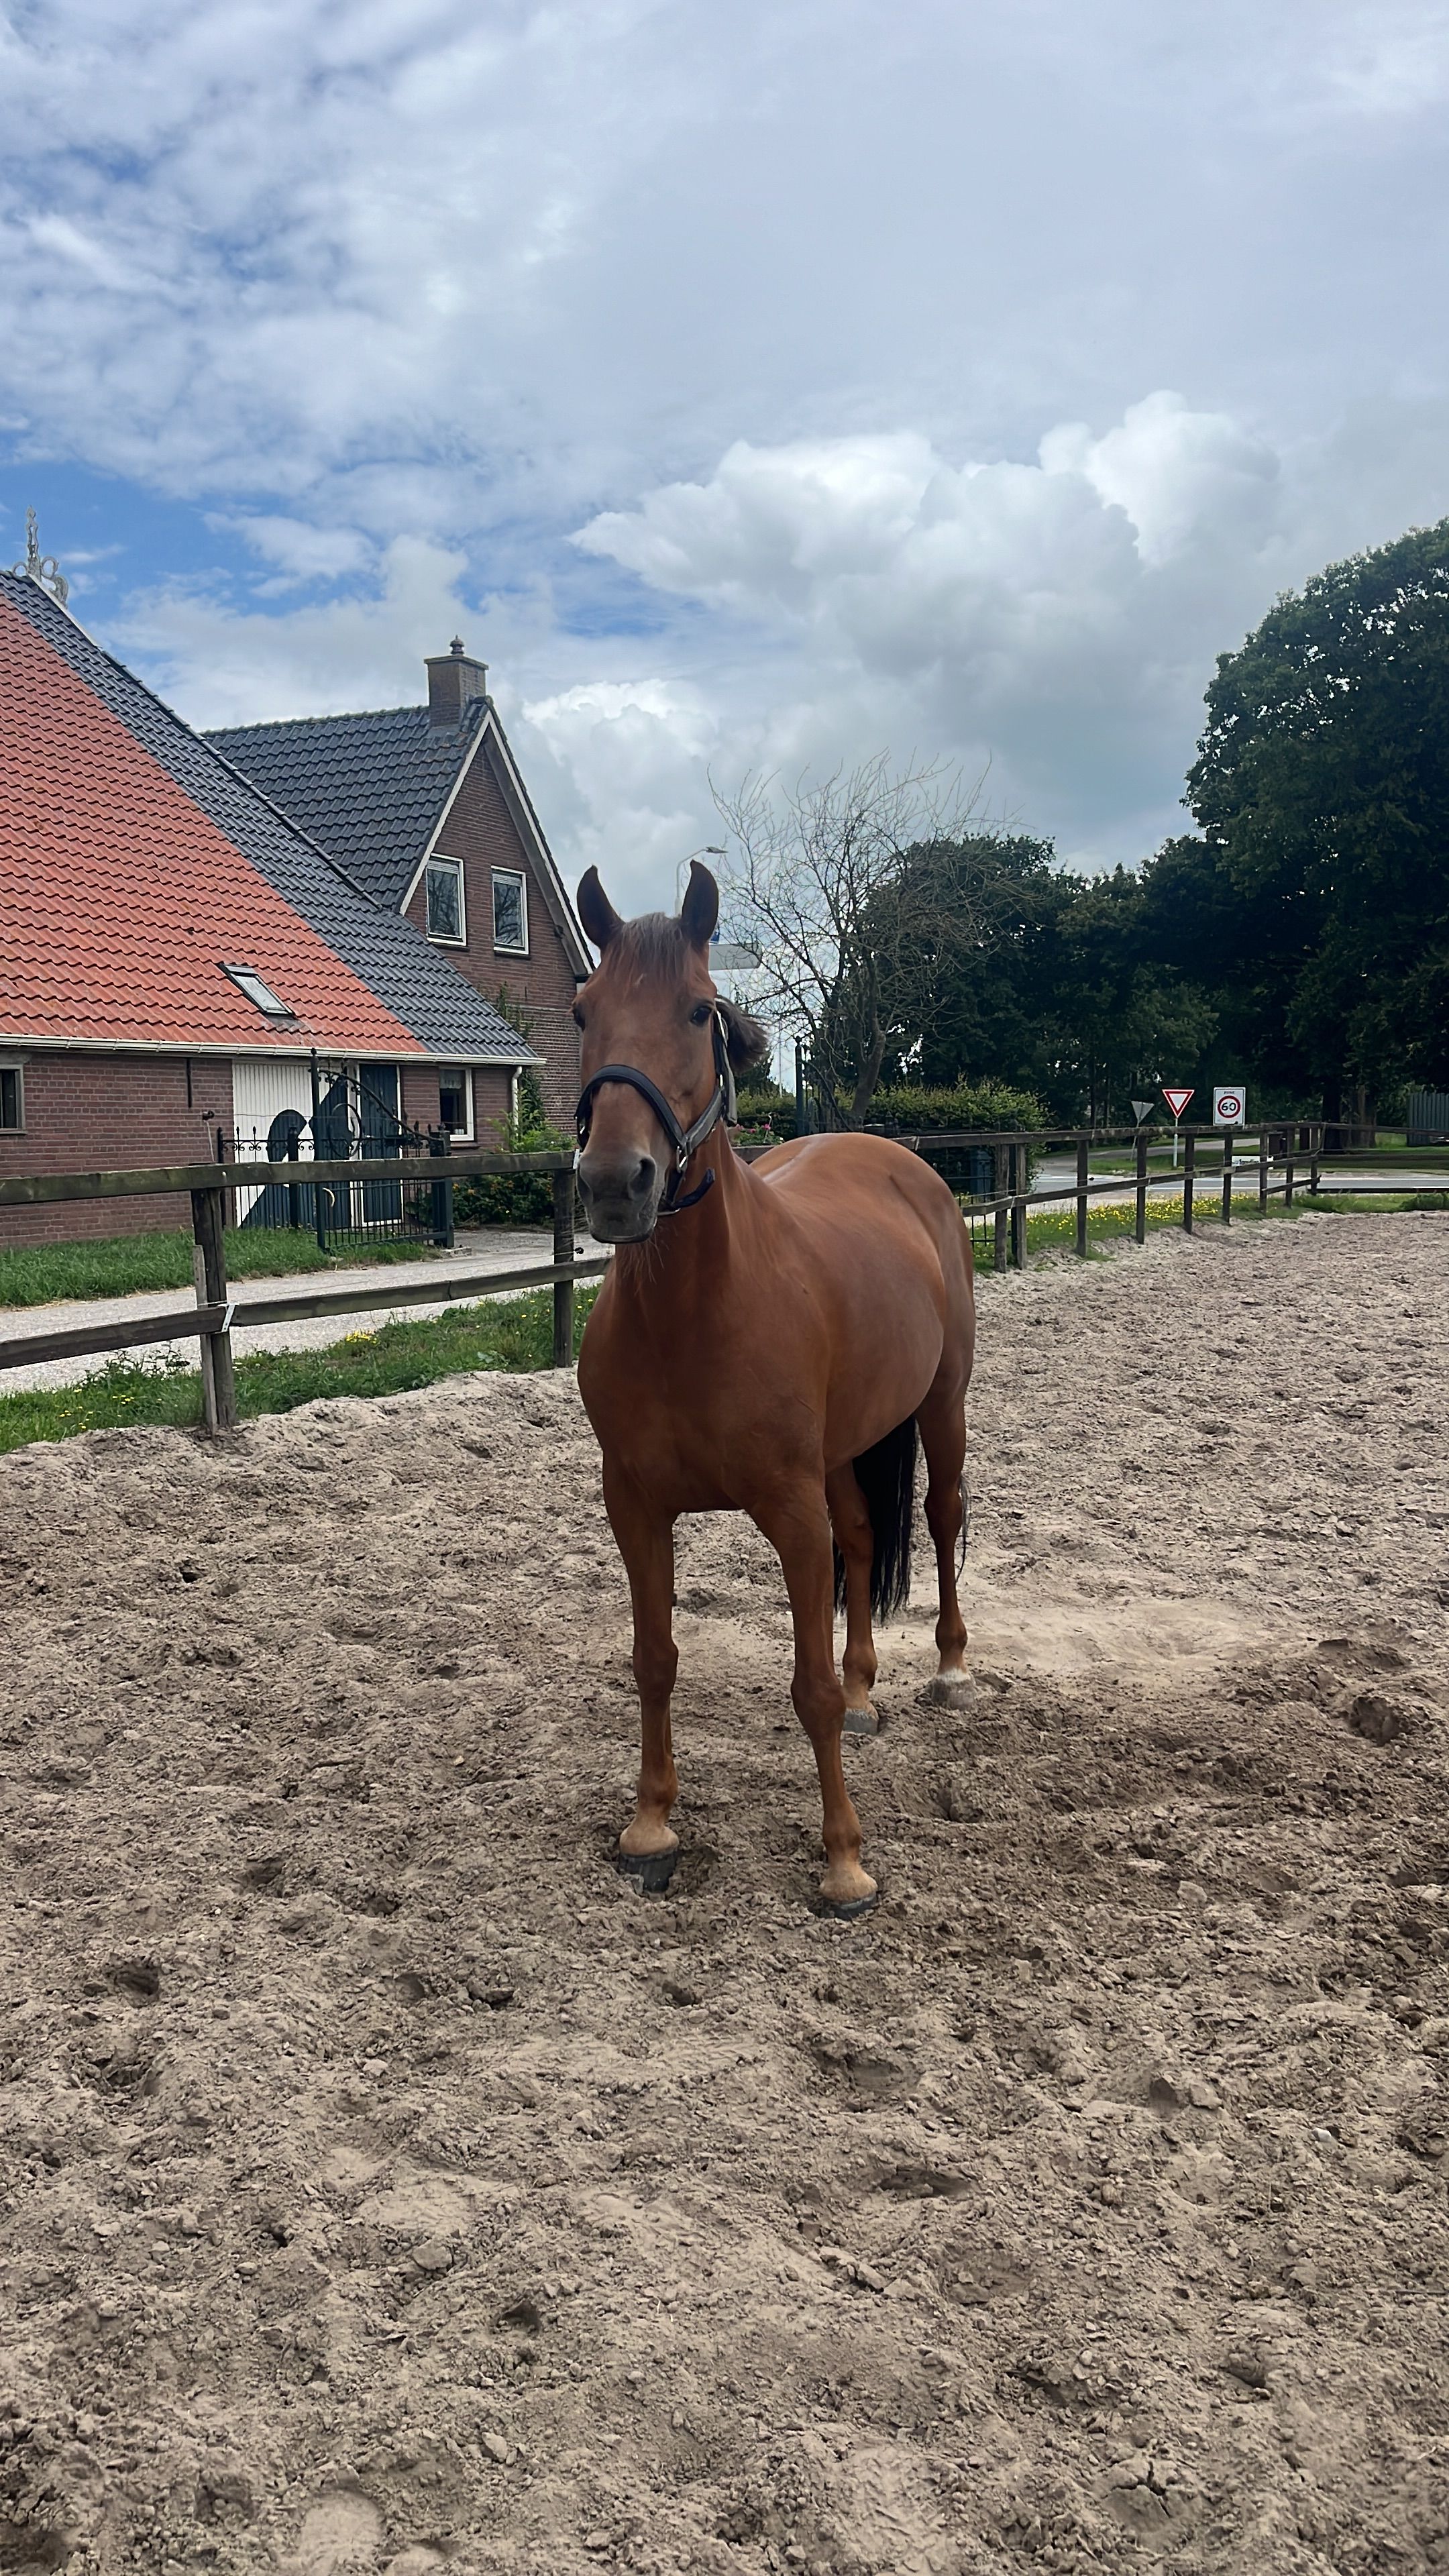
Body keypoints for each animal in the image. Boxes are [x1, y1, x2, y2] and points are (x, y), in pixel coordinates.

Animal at [572, 860, 976, 1916]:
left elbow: (809, 1689)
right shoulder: (635, 1508)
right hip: (845, 1451)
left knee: (943, 1517)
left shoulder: (791, 1512)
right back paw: (875, 1691)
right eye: (583, 1009)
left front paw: (844, 1862)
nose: (614, 1183)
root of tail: (899, 1159)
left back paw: (954, 1669)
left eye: (697, 1009)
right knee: (868, 1539)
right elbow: (655, 1661)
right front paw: (651, 1826)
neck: (692, 1317)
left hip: (943, 1405)